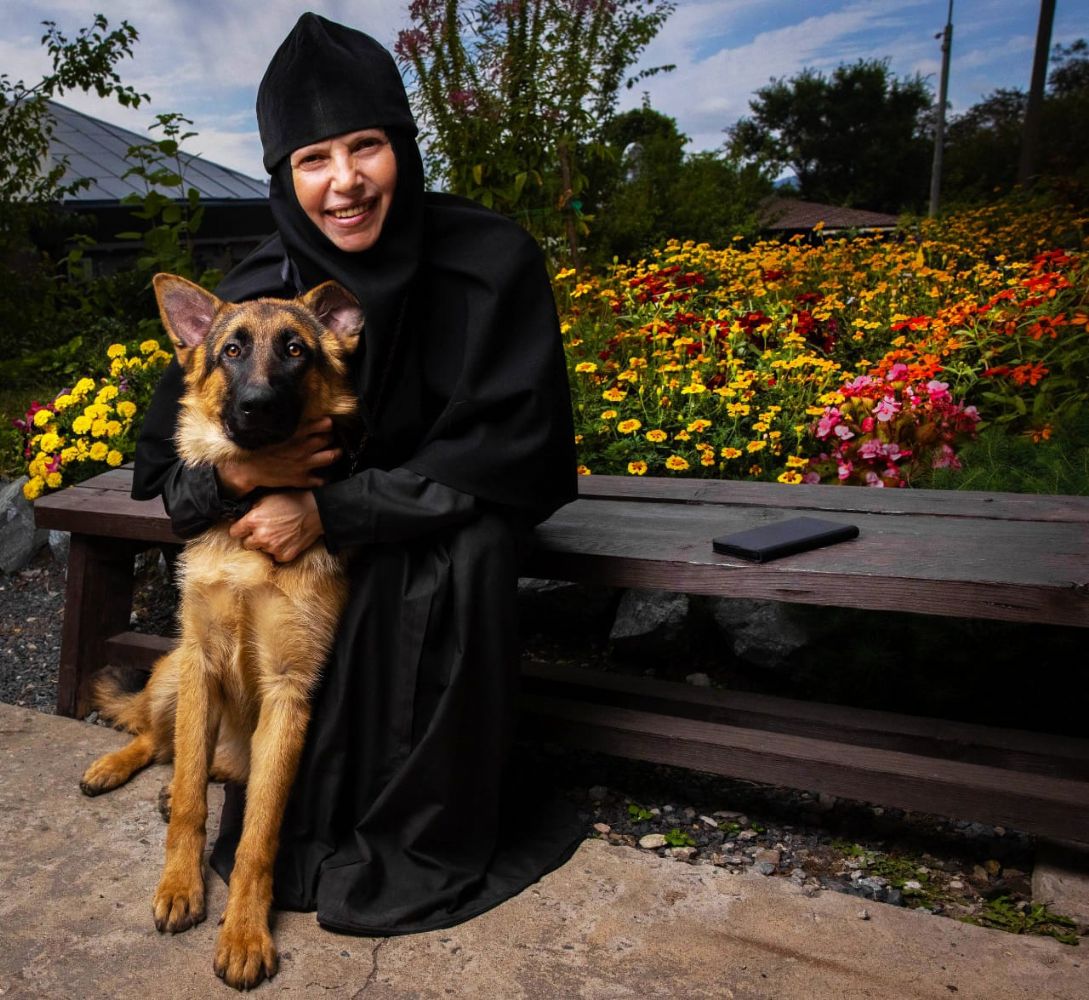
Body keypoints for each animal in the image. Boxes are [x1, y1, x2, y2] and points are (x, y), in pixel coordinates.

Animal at [79, 272, 363, 990]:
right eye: (232, 350)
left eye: (295, 349)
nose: (257, 407)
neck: (250, 522)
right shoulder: (202, 666)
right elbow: (189, 806)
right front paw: (180, 885)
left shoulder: (289, 697)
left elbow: (257, 835)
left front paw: (243, 931)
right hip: (173, 677)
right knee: (159, 743)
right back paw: (114, 766)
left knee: (209, 770)